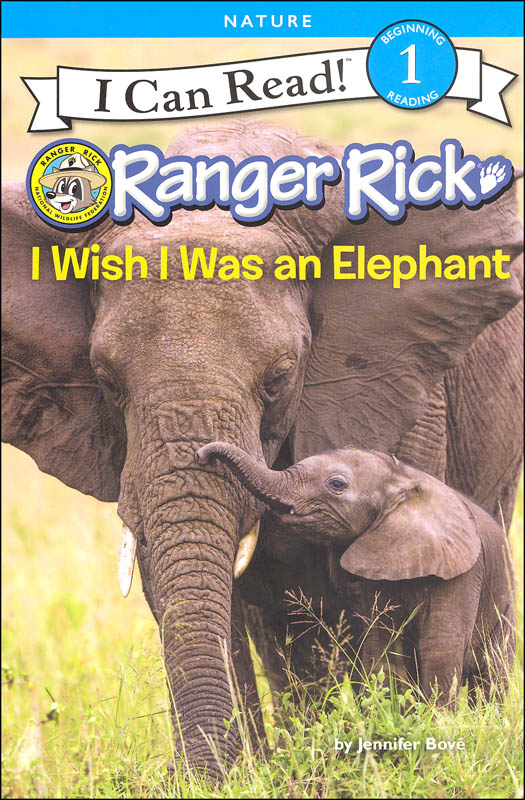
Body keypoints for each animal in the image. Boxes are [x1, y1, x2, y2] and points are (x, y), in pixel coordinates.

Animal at [196, 442, 515, 705]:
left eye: (336, 484)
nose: (201, 455)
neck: (402, 480)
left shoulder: (462, 572)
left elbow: (441, 646)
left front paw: (437, 724)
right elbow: (380, 642)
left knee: (492, 673)